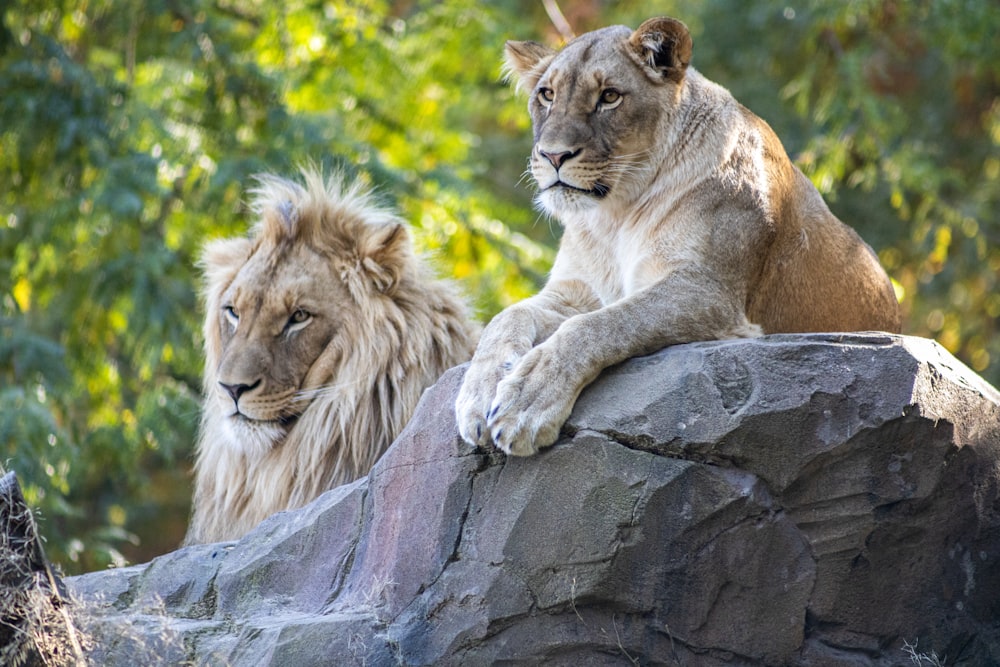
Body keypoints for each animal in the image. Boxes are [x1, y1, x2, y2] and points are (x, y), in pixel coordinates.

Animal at [458, 15, 904, 456]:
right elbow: (506, 316)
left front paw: (526, 403)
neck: (613, 216)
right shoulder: (575, 292)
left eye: (609, 97)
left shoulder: (709, 292)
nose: (553, 155)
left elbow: (600, 325)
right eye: (547, 95)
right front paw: (475, 398)